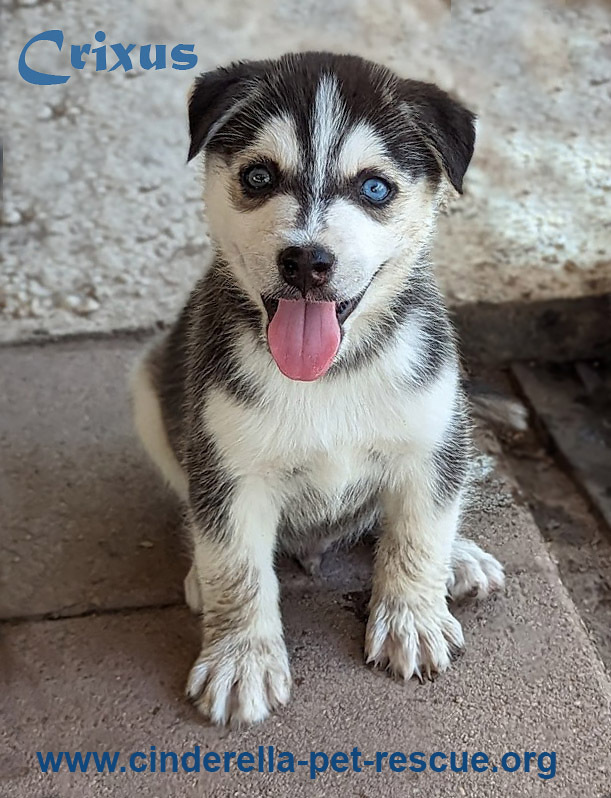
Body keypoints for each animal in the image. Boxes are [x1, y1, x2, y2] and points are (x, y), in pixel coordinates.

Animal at [133, 53, 506, 728]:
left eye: (375, 188)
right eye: (258, 177)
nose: (306, 261)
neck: (329, 375)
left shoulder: (434, 436)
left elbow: (419, 532)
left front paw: (412, 617)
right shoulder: (228, 467)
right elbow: (237, 564)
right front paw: (241, 657)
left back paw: (460, 557)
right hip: (149, 390)